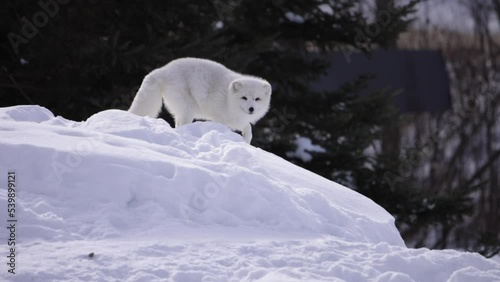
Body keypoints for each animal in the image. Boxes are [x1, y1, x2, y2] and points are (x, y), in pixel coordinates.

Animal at [127, 56, 272, 143]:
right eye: (244, 98)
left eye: (257, 99)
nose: (251, 109)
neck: (228, 98)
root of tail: (163, 69)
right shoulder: (220, 118)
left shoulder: (238, 120)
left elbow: (248, 129)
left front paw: (246, 141)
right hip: (188, 108)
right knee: (181, 125)